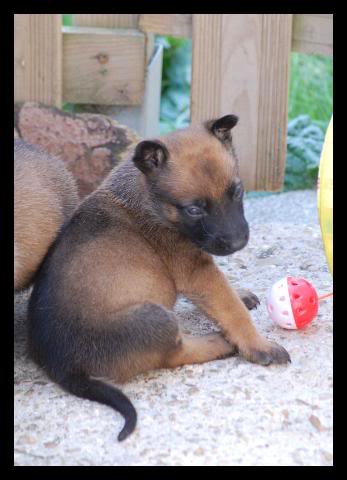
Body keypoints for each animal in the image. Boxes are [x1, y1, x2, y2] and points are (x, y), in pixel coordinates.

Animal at [28, 114, 290, 440]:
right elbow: (229, 307)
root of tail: (61, 366)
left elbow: (224, 297)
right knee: (174, 354)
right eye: (194, 209)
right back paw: (218, 343)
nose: (237, 242)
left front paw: (240, 293)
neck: (150, 198)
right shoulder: (195, 269)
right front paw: (257, 344)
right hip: (155, 318)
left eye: (238, 192)